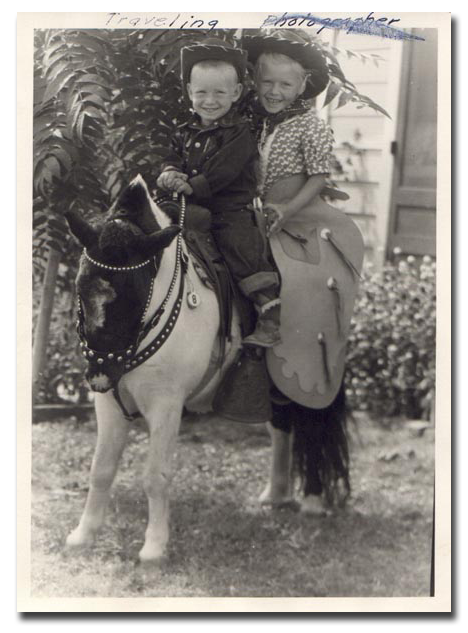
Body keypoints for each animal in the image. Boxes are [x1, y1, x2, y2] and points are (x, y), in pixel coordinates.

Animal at [65, 174, 352, 564]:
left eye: (134, 295)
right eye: (81, 289)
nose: (98, 375)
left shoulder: (166, 404)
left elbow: (156, 475)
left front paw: (154, 547)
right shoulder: (109, 402)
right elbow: (101, 469)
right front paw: (83, 534)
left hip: (309, 382)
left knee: (314, 427)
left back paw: (311, 500)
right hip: (273, 386)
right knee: (281, 428)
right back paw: (275, 495)